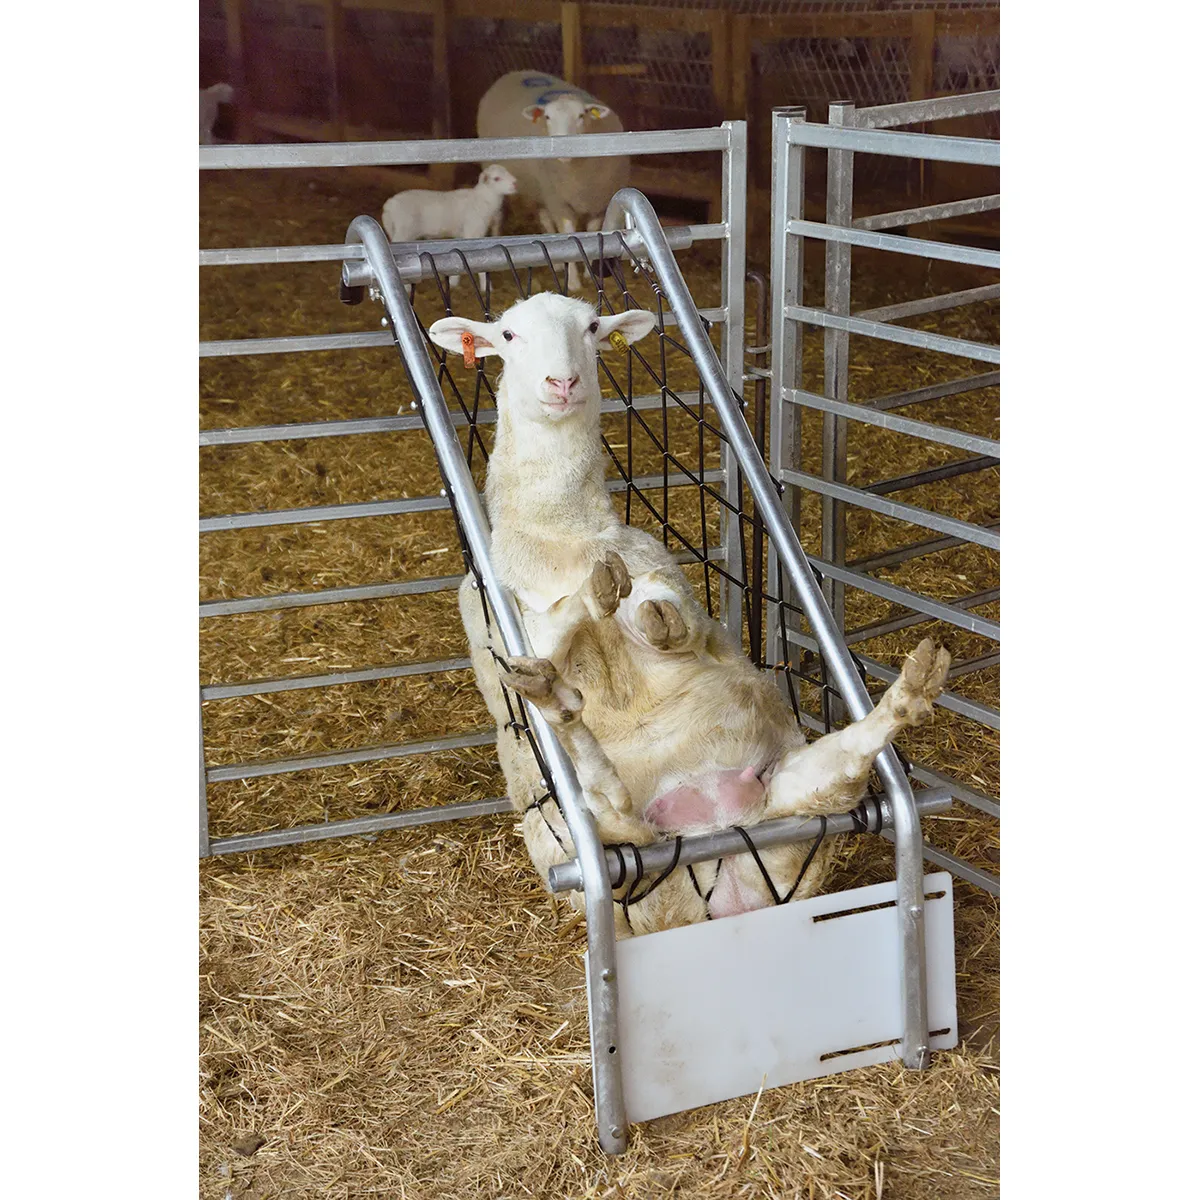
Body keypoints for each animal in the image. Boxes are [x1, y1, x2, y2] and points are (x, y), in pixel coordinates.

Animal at [428, 293, 952, 937]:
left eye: (592, 327)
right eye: (507, 334)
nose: (563, 382)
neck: (563, 539)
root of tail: (709, 850)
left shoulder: (667, 582)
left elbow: (673, 621)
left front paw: (640, 614)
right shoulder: (500, 629)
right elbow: (549, 635)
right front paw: (589, 604)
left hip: (797, 798)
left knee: (846, 762)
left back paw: (915, 688)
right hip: (601, 854)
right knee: (613, 809)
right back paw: (560, 700)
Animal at [476, 71, 630, 292]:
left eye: (581, 116)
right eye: (547, 117)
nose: (562, 146)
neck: (576, 174)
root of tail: (515, 72)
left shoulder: (598, 203)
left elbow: (591, 234)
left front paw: (588, 272)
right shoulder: (560, 203)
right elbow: (569, 236)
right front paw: (574, 282)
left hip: (541, 189)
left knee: (545, 219)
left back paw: (556, 263)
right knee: (503, 216)